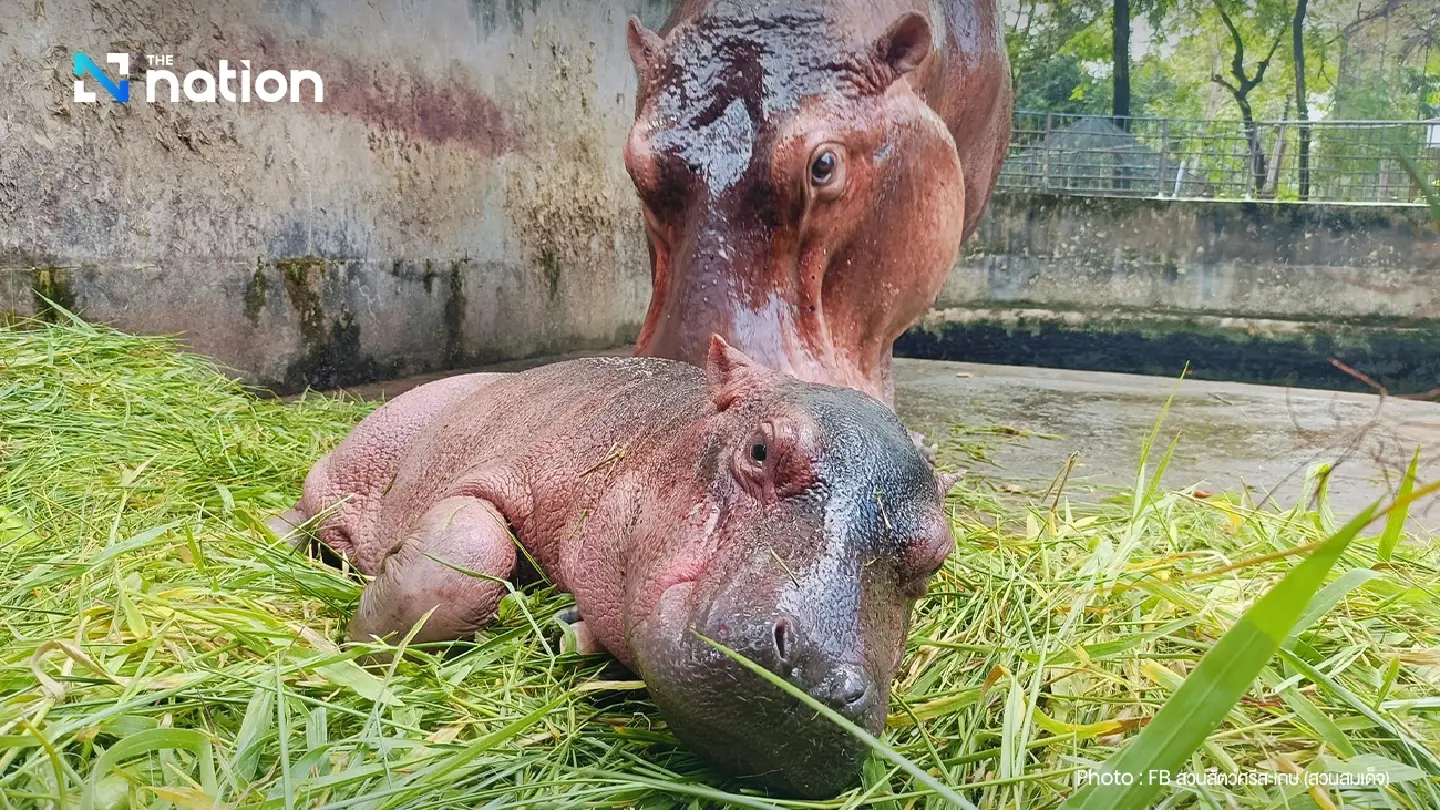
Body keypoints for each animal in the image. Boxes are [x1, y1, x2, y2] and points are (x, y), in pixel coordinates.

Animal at [272, 337, 957, 797]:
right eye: (761, 448)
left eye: (940, 553)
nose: (819, 678)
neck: (669, 435)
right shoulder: (511, 461)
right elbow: (468, 552)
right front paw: (362, 640)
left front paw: (570, 629)